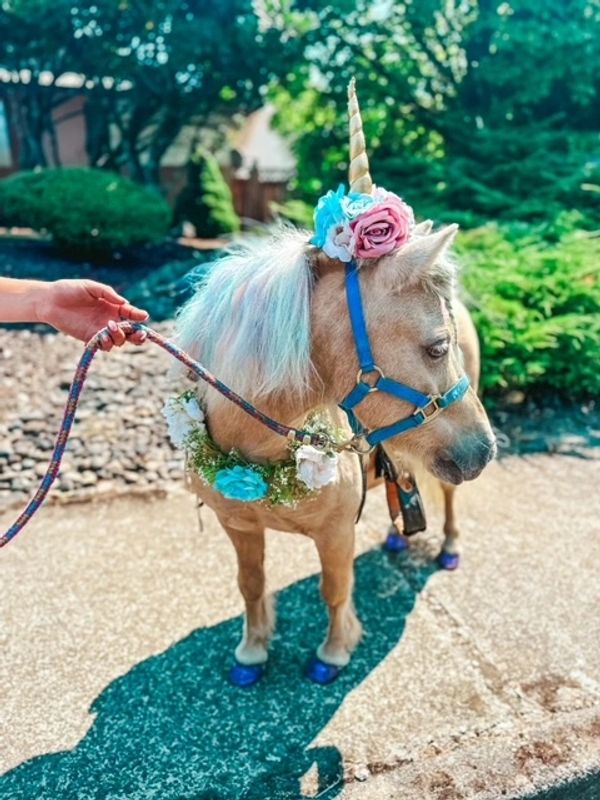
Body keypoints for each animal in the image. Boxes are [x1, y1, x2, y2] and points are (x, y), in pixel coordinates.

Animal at [172, 83, 496, 686]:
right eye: (436, 347)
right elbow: (250, 585)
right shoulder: (238, 527)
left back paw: (448, 547)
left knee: (448, 497)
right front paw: (253, 650)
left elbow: (335, 589)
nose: (483, 451)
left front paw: (333, 652)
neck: (261, 453)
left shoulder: (337, 534)